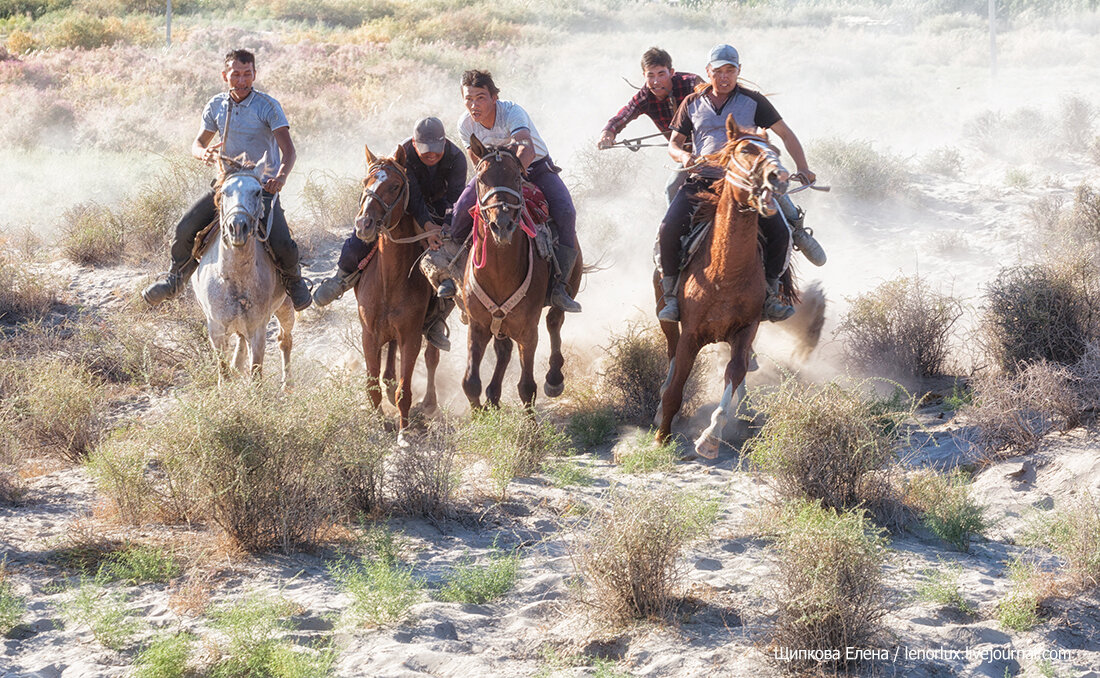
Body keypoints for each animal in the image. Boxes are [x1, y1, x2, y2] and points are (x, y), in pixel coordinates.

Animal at [352, 143, 437, 440]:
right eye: (365, 182)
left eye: (396, 185)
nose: (364, 224)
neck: (389, 281)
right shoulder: (369, 335)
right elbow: (372, 387)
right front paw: (379, 424)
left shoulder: (411, 335)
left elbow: (405, 390)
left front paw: (404, 432)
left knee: (432, 357)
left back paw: (430, 402)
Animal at [459, 134, 585, 405]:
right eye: (481, 179)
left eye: (516, 177)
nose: (501, 224)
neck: (499, 272)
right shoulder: (477, 326)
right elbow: (470, 383)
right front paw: (481, 412)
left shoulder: (528, 331)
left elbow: (527, 387)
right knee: (503, 350)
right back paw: (493, 396)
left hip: (570, 285)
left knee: (554, 321)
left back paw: (554, 378)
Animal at [651, 116, 800, 457]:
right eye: (745, 149)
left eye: (775, 150)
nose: (779, 177)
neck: (724, 274)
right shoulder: (691, 333)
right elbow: (678, 383)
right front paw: (662, 436)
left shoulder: (746, 329)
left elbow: (734, 372)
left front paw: (711, 436)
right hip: (666, 317)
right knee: (671, 355)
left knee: (743, 366)